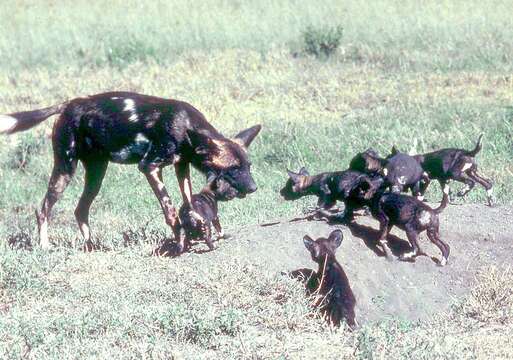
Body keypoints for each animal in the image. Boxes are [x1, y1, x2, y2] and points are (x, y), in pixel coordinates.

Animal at [0, 91, 262, 252]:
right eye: (233, 168)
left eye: (248, 166)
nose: (253, 187)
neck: (186, 128)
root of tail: (67, 104)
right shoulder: (150, 167)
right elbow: (170, 210)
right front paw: (180, 240)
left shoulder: (181, 166)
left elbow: (188, 200)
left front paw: (195, 226)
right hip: (65, 169)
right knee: (43, 208)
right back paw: (45, 245)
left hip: (96, 175)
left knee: (80, 209)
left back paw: (92, 247)